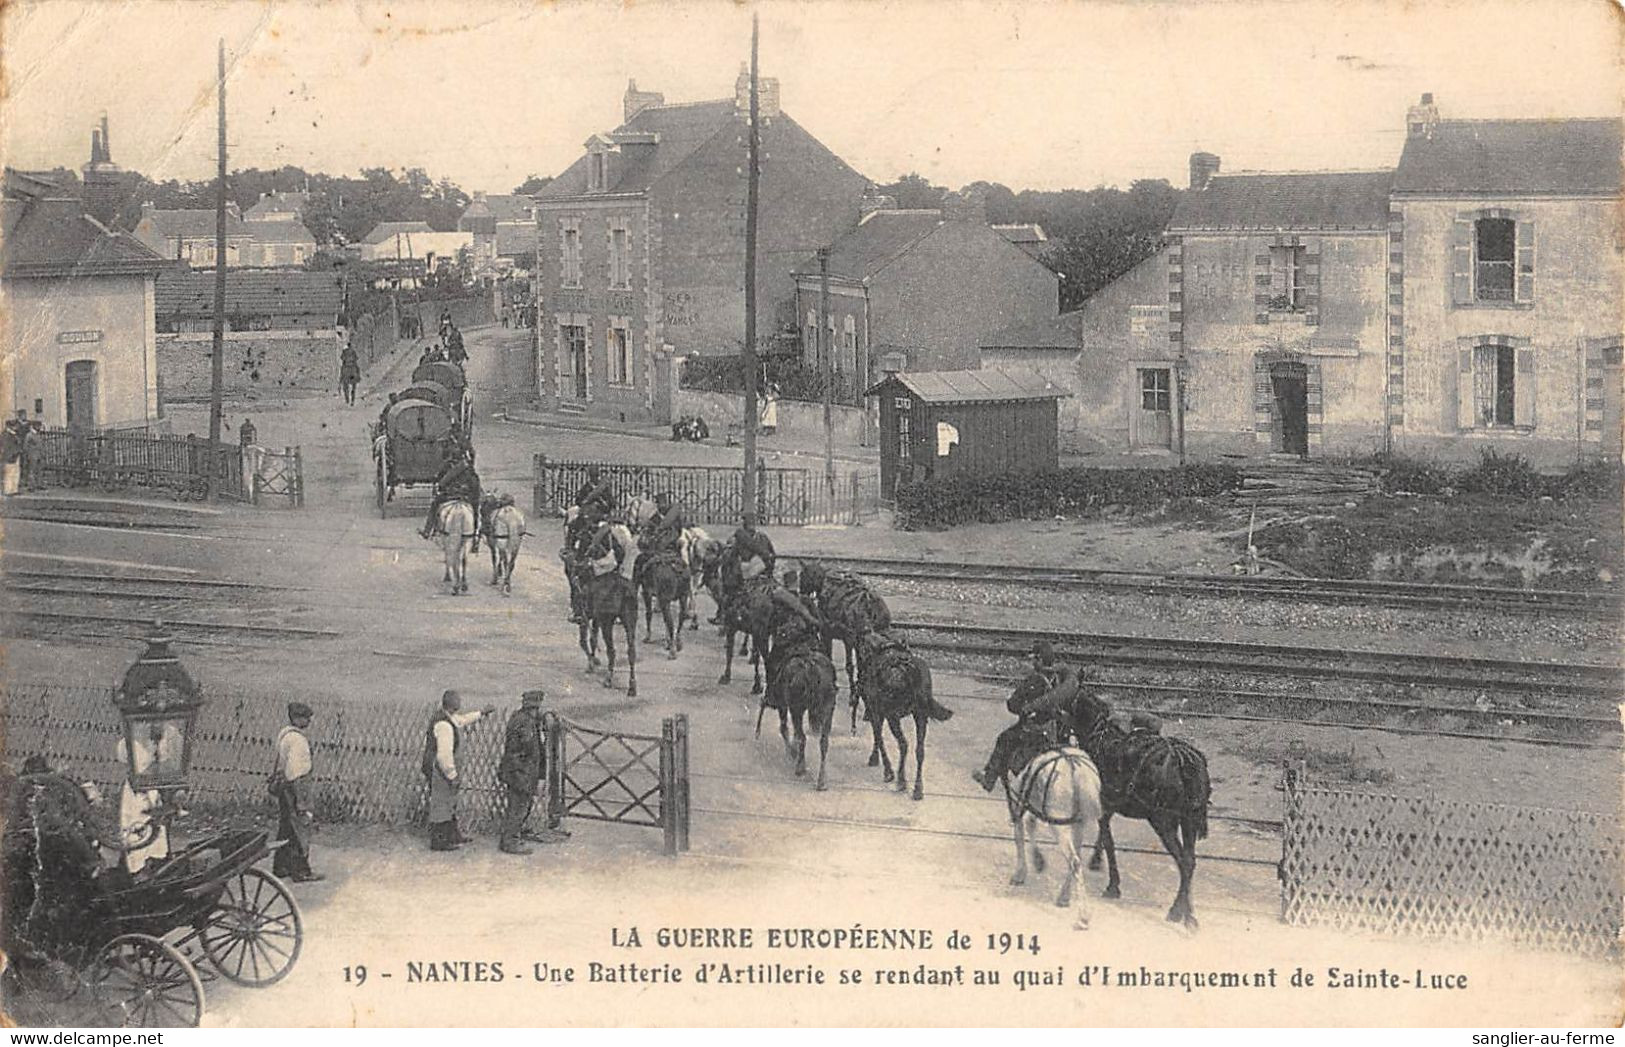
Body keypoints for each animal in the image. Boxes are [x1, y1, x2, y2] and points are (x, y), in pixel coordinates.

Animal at [565, 556, 640, 695]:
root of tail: (624, 589)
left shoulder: (585, 618)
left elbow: (583, 641)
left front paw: (592, 664)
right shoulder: (596, 619)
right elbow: (593, 640)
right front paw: (593, 661)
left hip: (607, 623)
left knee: (611, 651)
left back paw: (608, 680)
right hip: (630, 621)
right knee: (631, 651)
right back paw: (632, 687)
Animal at [802, 565, 897, 728]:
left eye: (804, 575)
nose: (801, 592)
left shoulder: (838, 636)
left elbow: (848, 666)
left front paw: (854, 697)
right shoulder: (850, 640)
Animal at [851, 630, 949, 803]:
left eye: (861, 648)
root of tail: (908, 670)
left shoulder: (877, 710)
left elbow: (879, 737)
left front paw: (887, 770)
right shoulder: (881, 711)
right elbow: (878, 736)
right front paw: (877, 760)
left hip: (894, 716)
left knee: (903, 744)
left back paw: (901, 780)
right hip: (920, 715)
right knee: (919, 750)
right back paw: (917, 789)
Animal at [994, 731, 1111, 929]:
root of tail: (1076, 768)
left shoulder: (1019, 803)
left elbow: (1021, 834)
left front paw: (1023, 871)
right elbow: (1030, 825)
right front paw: (1038, 861)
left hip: (1059, 826)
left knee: (1074, 861)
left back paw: (1083, 917)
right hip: (1077, 824)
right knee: (1076, 857)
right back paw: (1064, 897)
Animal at [1072, 692, 1215, 929]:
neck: (1100, 735)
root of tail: (1184, 760)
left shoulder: (1103, 803)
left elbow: (1109, 840)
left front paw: (1112, 885)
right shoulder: (1110, 804)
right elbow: (1105, 834)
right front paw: (1096, 861)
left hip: (1163, 821)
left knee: (1183, 861)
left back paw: (1180, 913)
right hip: (1189, 820)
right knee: (1189, 861)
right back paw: (1186, 913)